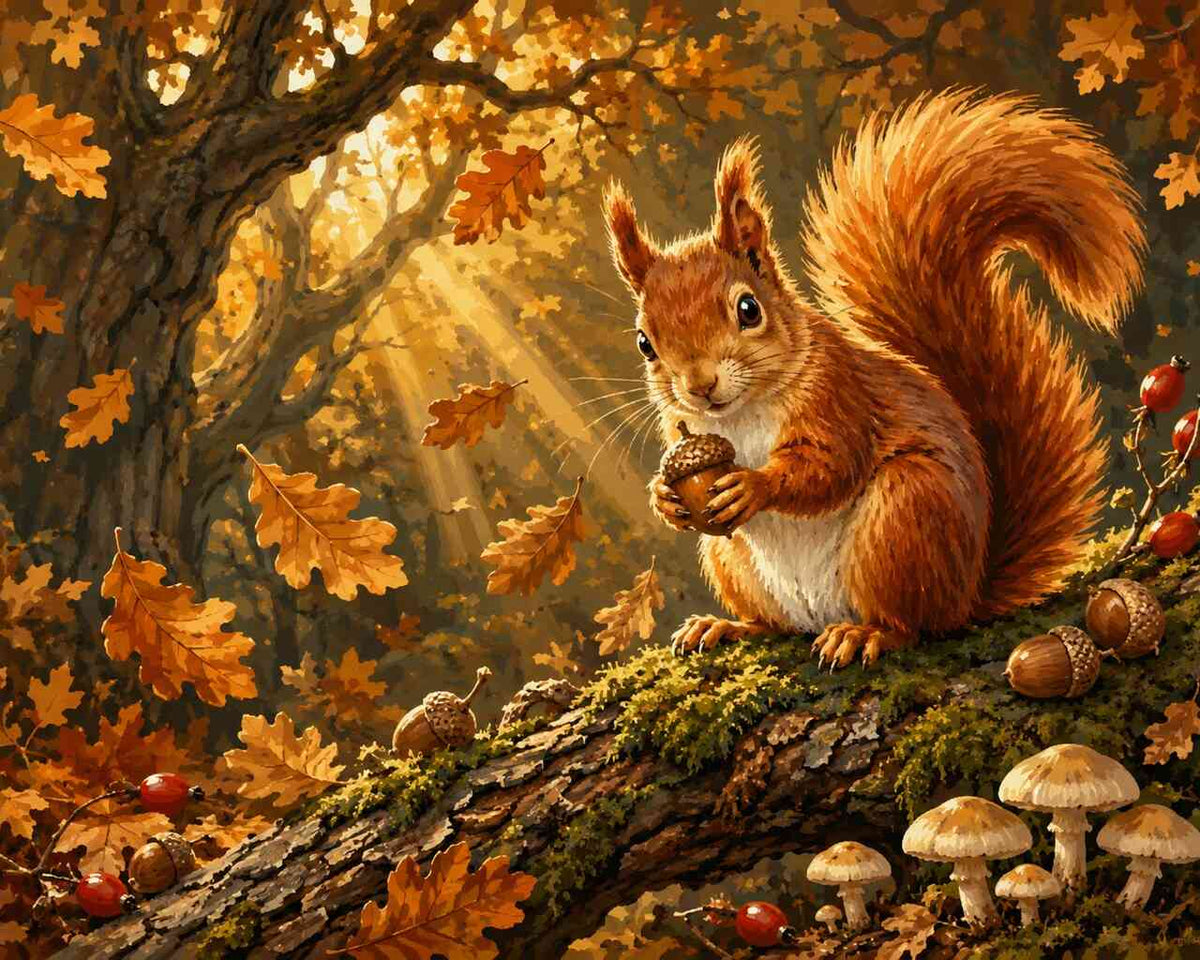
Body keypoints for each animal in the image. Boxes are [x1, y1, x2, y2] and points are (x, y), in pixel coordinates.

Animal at [602, 91, 1145, 668]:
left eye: (748, 309)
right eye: (644, 343)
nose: (700, 385)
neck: (742, 413)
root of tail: (968, 594)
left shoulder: (841, 395)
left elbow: (830, 465)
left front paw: (754, 484)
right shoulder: (679, 424)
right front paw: (665, 496)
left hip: (906, 517)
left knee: (912, 624)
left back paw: (867, 634)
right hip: (733, 560)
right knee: (775, 624)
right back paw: (727, 626)